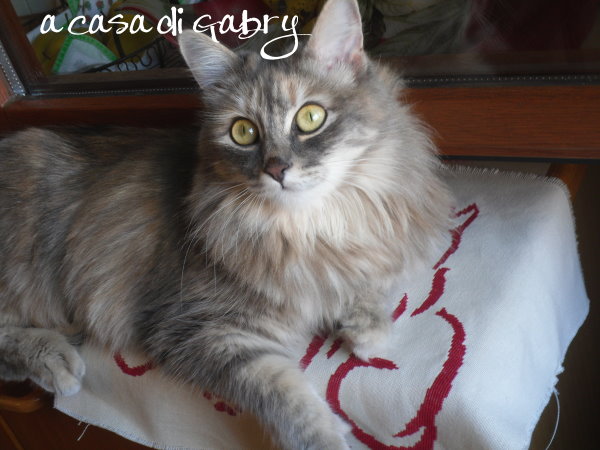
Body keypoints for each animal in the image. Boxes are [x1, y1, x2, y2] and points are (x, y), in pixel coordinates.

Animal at [0, 0, 452, 448]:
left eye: (310, 117)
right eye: (243, 131)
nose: (277, 169)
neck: (306, 231)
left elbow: (368, 279)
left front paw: (366, 328)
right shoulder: (201, 329)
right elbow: (282, 394)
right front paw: (323, 439)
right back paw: (56, 360)